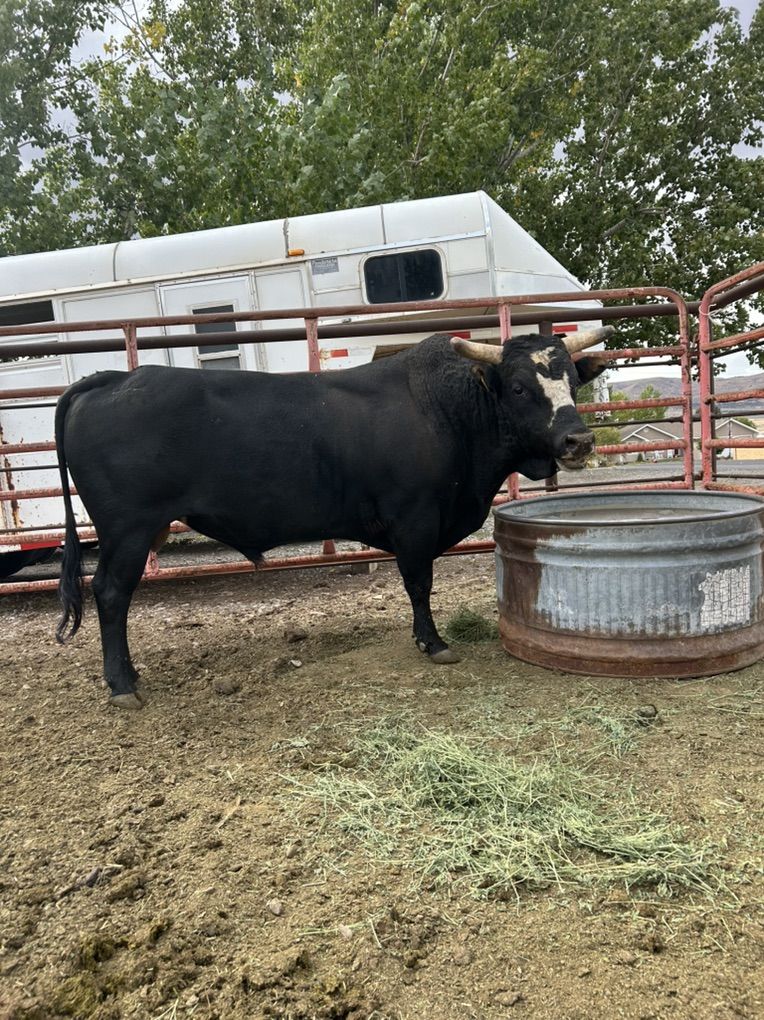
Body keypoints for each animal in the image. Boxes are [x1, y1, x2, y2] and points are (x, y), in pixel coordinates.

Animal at [54, 328, 612, 709]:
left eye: (571, 381)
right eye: (518, 388)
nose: (579, 441)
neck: (447, 411)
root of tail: (116, 378)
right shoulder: (415, 519)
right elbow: (419, 583)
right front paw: (432, 642)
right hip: (128, 531)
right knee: (110, 594)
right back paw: (122, 684)